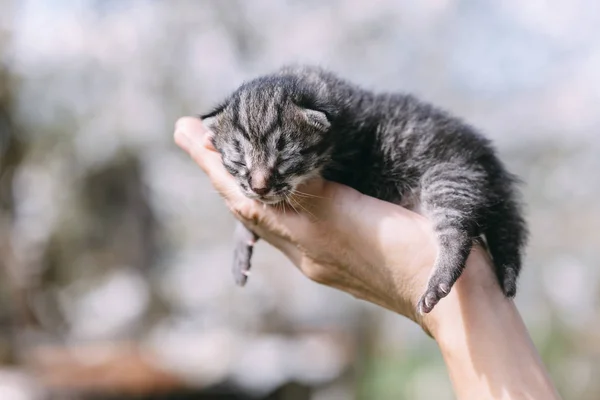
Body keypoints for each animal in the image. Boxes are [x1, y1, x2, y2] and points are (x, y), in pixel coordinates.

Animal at [200, 65, 524, 314]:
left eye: (283, 159)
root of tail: (485, 156)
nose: (260, 187)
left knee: (456, 231)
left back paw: (439, 281)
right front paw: (242, 240)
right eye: (239, 160)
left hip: (448, 177)